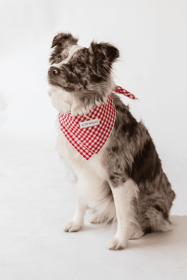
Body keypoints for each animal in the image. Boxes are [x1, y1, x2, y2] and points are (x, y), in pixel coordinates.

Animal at [47, 32, 176, 249]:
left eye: (80, 64)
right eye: (59, 58)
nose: (52, 70)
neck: (81, 112)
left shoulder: (118, 174)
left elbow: (123, 212)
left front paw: (120, 240)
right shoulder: (79, 168)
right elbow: (80, 198)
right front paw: (76, 223)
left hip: (150, 200)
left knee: (146, 220)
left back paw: (135, 231)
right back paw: (99, 216)